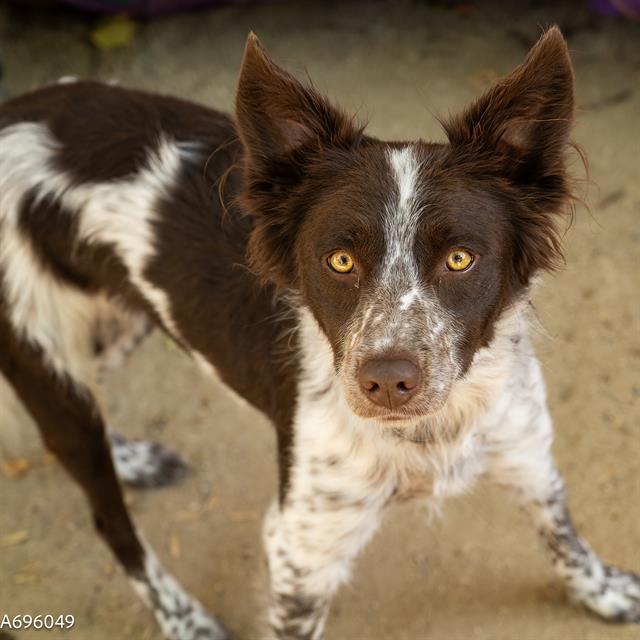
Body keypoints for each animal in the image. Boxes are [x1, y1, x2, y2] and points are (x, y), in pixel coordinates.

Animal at [1, 26, 640, 640]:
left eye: (460, 259)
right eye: (339, 261)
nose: (387, 381)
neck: (431, 433)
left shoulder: (526, 451)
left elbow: (563, 532)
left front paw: (602, 591)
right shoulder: (299, 550)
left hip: (117, 325)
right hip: (49, 360)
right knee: (110, 519)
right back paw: (183, 616)